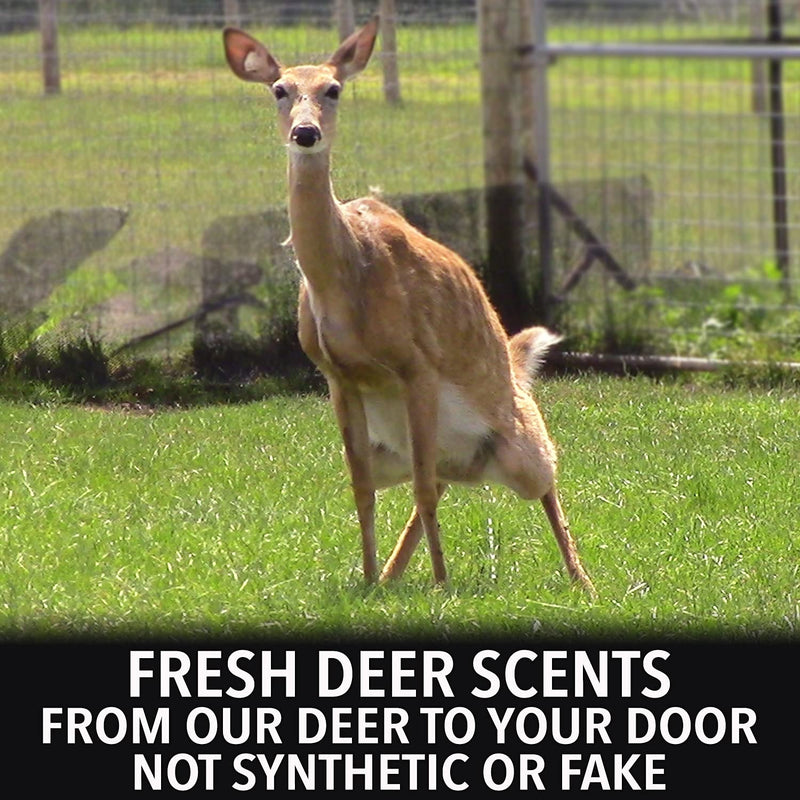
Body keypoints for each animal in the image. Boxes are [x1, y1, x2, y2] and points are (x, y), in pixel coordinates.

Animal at [222, 15, 595, 596]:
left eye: (334, 89)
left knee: (543, 476)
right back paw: (392, 575)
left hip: (517, 444)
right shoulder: (337, 376)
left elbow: (420, 486)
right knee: (435, 480)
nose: (305, 133)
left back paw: (583, 581)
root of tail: (515, 369)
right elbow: (360, 488)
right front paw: (368, 579)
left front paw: (441, 585)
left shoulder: (417, 362)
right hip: (403, 451)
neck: (344, 281)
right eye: (279, 89)